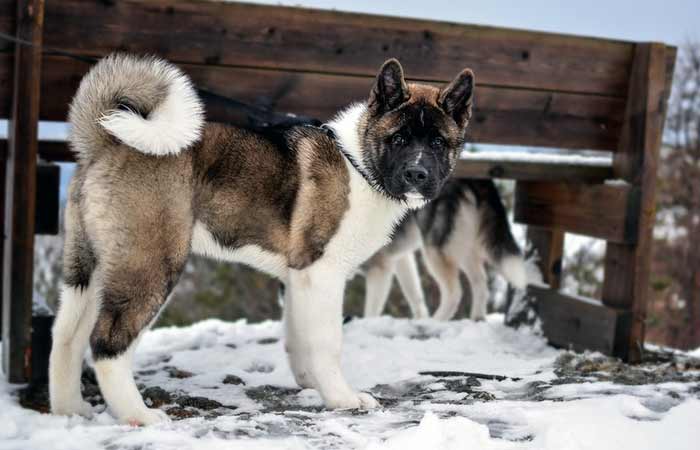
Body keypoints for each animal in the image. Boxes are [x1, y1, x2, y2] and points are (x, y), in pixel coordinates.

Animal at [50, 53, 476, 426]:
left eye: (438, 142)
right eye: (399, 138)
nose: (417, 175)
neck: (357, 163)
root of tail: (105, 142)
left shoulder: (299, 277)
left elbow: (298, 336)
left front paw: (310, 384)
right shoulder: (321, 271)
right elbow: (327, 341)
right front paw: (342, 398)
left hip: (87, 268)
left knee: (66, 336)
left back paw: (71, 410)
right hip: (152, 265)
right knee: (107, 342)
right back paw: (137, 415)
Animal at [364, 178, 528, 322]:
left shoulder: (379, 265)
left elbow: (371, 310)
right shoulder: (399, 258)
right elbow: (415, 295)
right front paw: (420, 318)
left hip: (436, 251)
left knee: (454, 293)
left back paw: (434, 322)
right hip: (462, 247)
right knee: (480, 282)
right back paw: (477, 318)